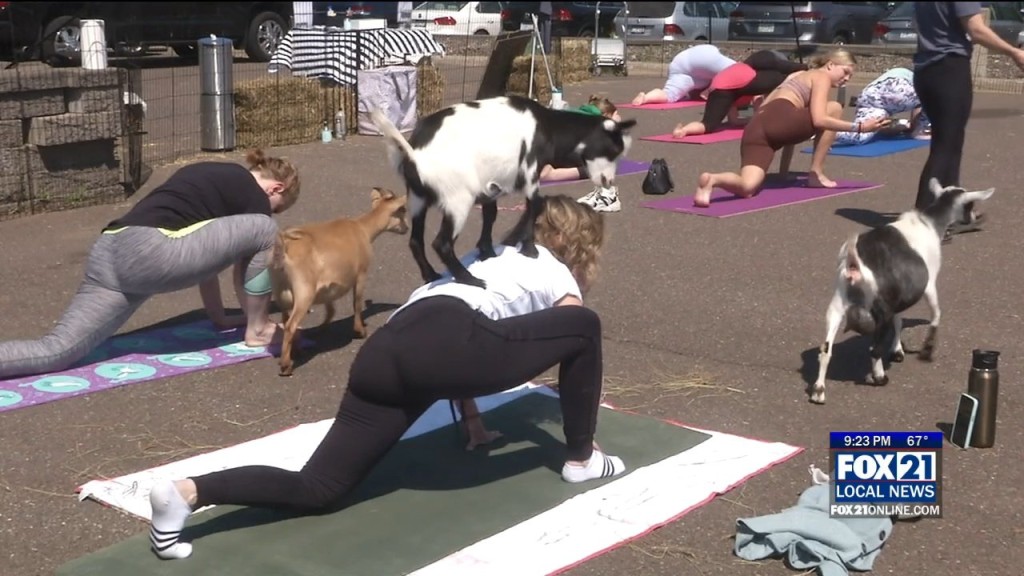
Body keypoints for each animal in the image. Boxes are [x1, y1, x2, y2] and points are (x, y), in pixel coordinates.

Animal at [270, 187, 409, 377]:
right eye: (402, 211)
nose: (407, 228)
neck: (363, 229)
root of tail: (285, 246)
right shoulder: (361, 273)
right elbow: (356, 303)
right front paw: (360, 330)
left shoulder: (329, 286)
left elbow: (331, 310)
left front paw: (322, 329)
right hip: (304, 290)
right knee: (291, 325)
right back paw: (286, 366)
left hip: (281, 291)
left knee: (285, 321)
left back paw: (296, 351)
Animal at [370, 94, 636, 288]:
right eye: (612, 151)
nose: (608, 181)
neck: (547, 127)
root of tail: (414, 154)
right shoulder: (530, 174)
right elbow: (536, 206)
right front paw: (529, 250)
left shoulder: (489, 189)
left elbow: (490, 216)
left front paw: (488, 252)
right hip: (458, 200)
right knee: (441, 243)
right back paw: (471, 280)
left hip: (418, 199)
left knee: (416, 241)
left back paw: (431, 275)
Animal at [810, 178, 994, 404]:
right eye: (970, 205)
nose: (976, 217)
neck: (928, 222)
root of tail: (855, 265)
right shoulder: (928, 285)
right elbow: (936, 314)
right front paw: (927, 350)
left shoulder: (900, 293)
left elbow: (900, 320)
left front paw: (897, 350)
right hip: (880, 309)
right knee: (874, 348)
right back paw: (878, 377)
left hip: (838, 304)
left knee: (825, 350)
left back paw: (819, 391)